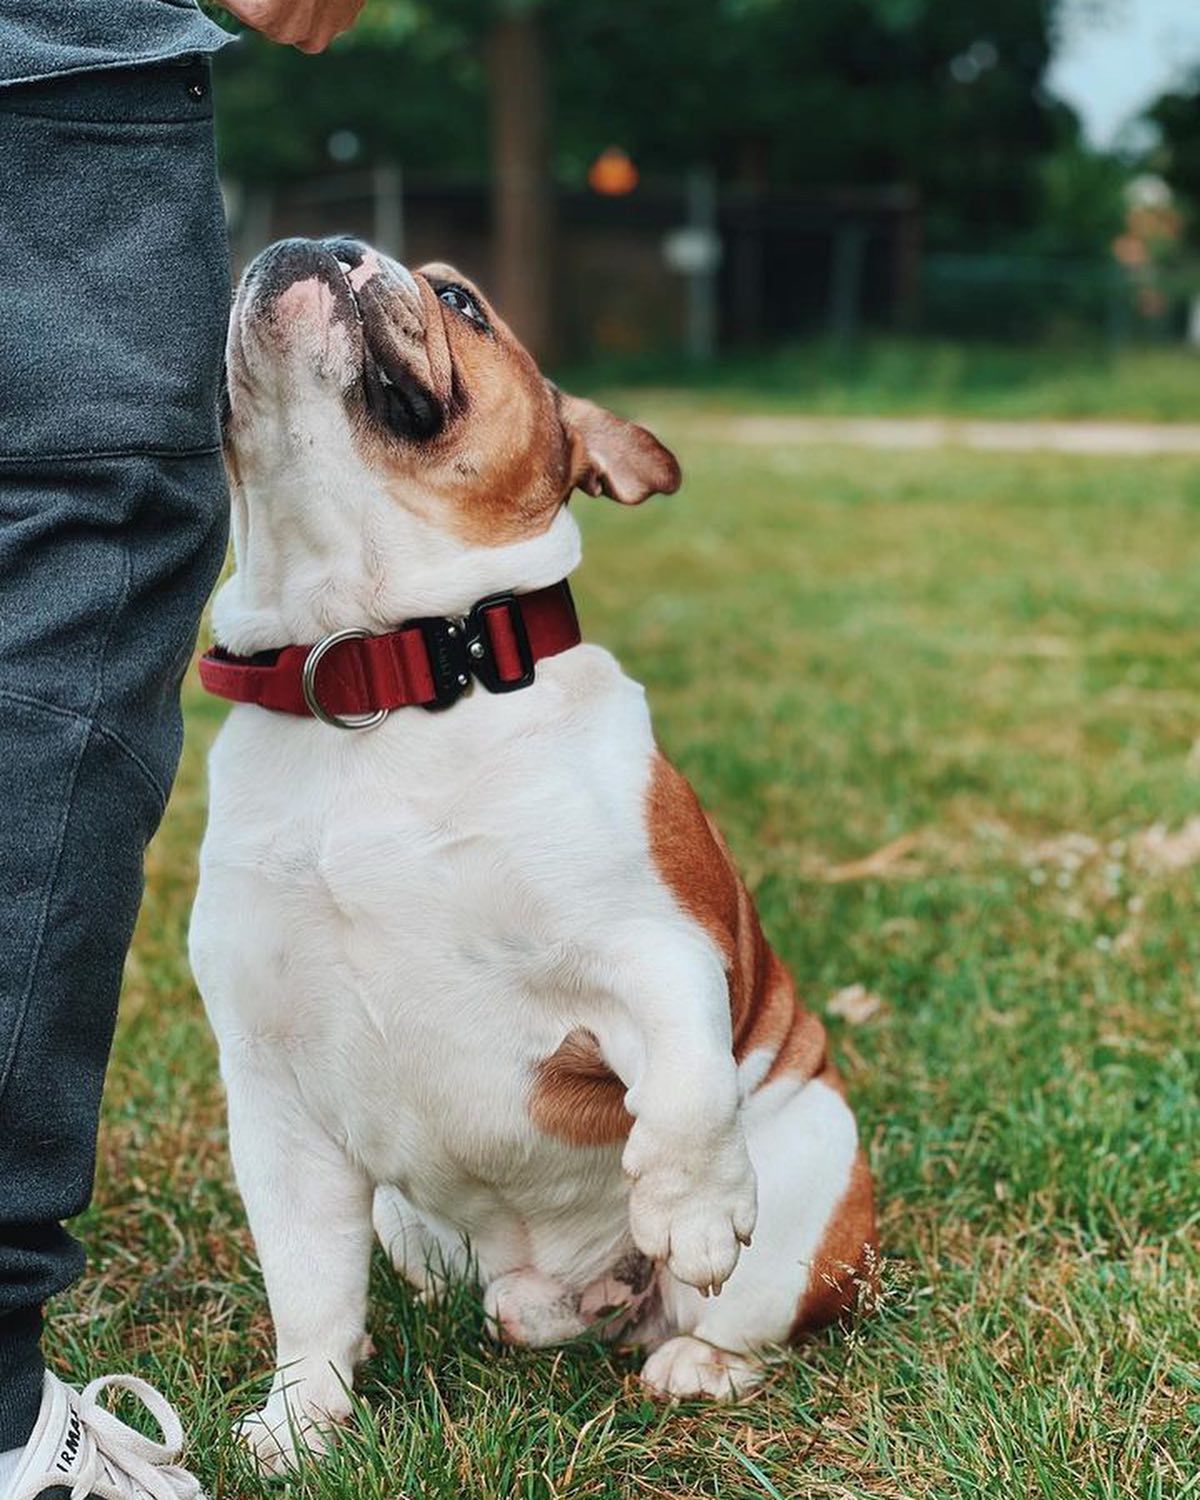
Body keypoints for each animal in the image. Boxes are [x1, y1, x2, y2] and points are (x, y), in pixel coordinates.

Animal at [189, 240, 882, 1470]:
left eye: (460, 301)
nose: (320, 244)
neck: (377, 666)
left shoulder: (653, 946)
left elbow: (690, 1079)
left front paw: (691, 1203)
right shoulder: (273, 1091)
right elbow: (308, 1285)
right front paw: (303, 1416)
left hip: (816, 1162)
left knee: (747, 1314)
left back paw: (696, 1357)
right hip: (406, 1220)